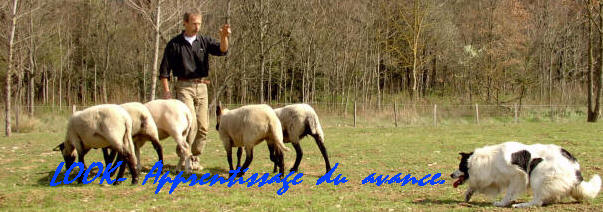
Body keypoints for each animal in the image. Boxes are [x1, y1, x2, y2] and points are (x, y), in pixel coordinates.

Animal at [450, 142, 600, 208]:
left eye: (460, 167)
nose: (451, 174)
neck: (488, 160)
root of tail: (576, 169)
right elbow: (474, 186)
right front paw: (468, 194)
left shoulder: (518, 176)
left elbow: (509, 193)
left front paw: (502, 203)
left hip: (537, 173)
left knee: (538, 201)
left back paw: (522, 205)